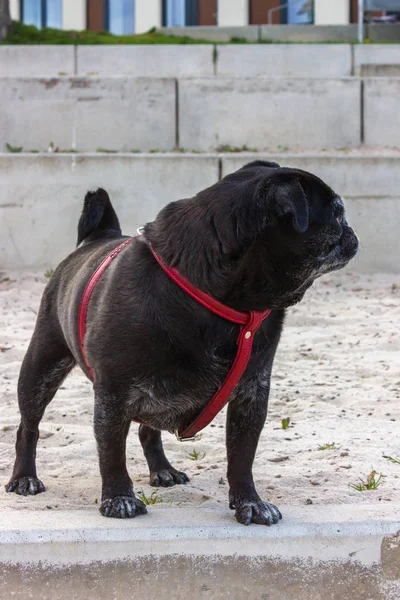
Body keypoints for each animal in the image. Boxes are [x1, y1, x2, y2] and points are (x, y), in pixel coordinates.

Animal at [5, 159, 356, 524]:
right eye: (337, 215)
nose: (352, 233)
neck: (215, 297)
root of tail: (102, 235)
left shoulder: (251, 393)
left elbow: (242, 455)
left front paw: (250, 502)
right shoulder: (113, 393)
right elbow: (112, 451)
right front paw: (119, 497)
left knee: (148, 429)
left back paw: (163, 470)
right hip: (42, 367)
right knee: (29, 426)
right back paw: (25, 477)